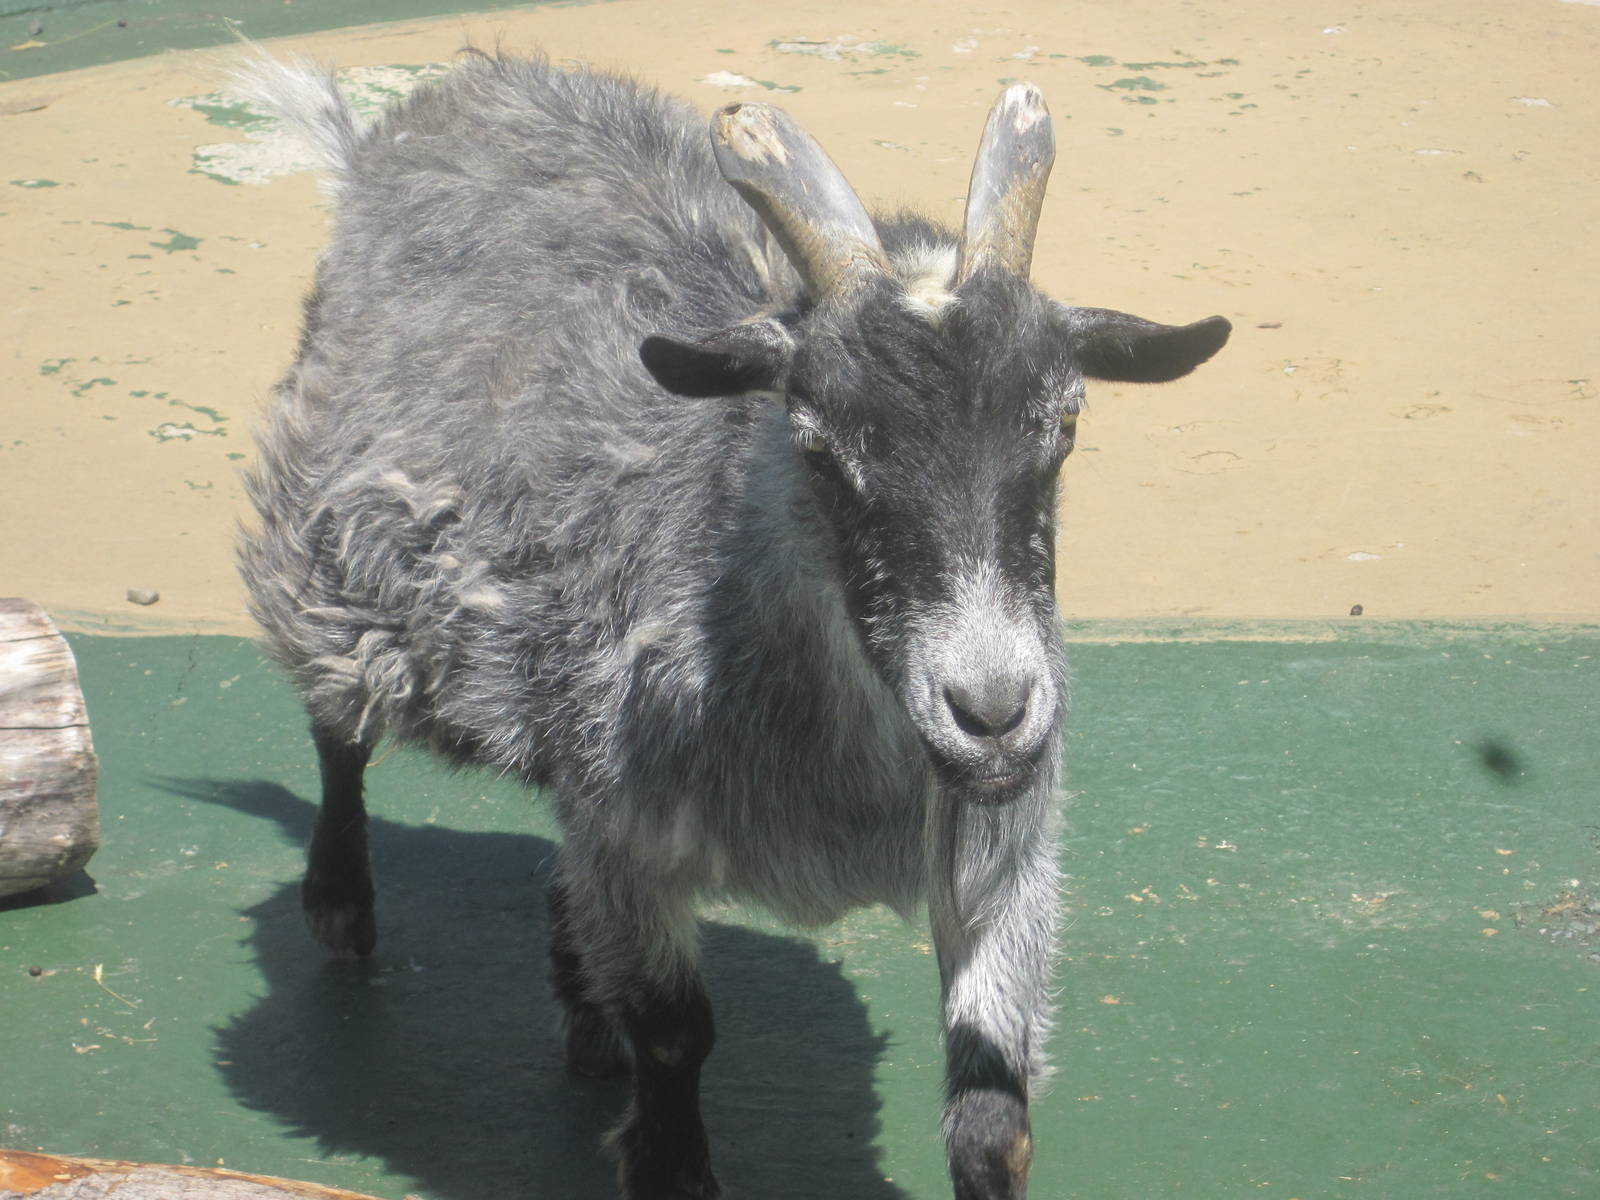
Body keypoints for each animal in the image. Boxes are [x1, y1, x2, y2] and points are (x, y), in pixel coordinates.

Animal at [236, 49, 1230, 1200]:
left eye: (1062, 424)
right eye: (817, 442)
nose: (992, 712)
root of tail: (407, 127)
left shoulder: (999, 859)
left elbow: (993, 1118)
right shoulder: (633, 832)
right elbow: (675, 1033)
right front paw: (666, 1156)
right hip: (331, 567)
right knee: (336, 730)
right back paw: (342, 902)